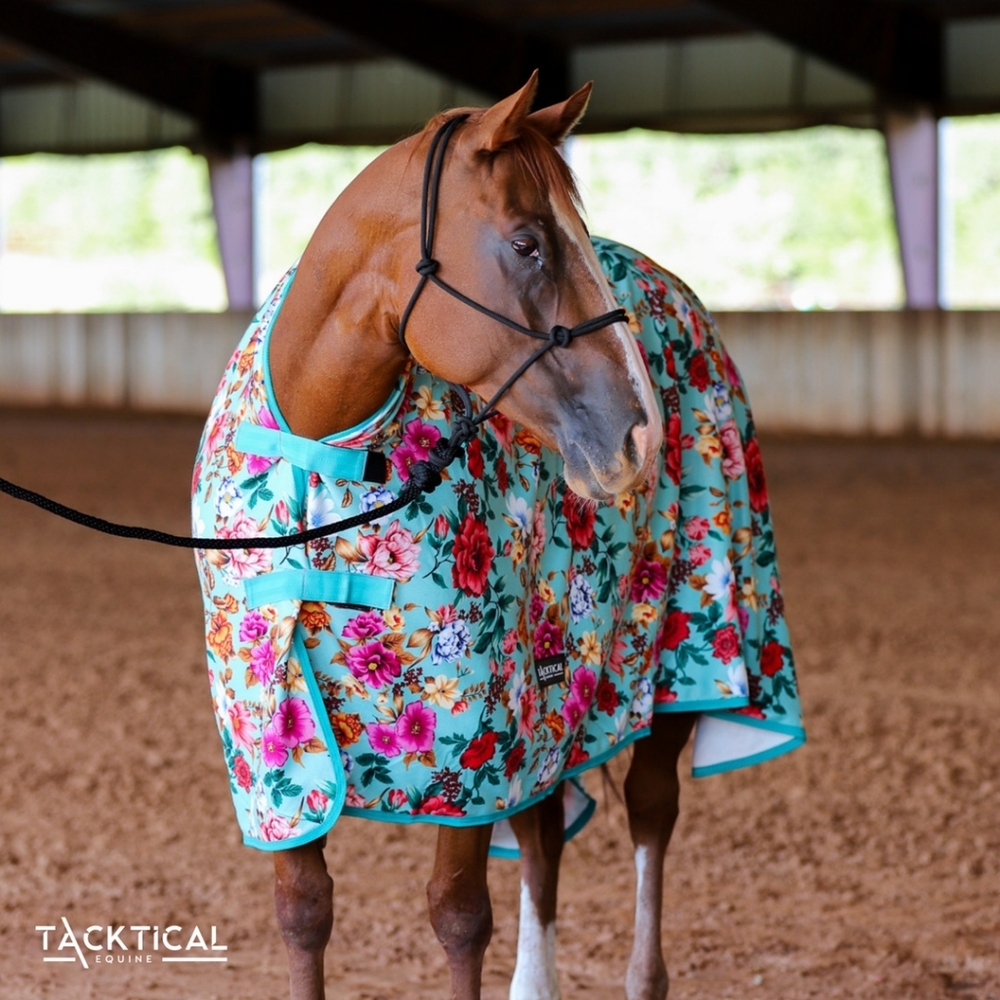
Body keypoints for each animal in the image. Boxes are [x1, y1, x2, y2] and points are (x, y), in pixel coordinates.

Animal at [191, 73, 804, 1000]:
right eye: (526, 244)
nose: (640, 433)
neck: (323, 450)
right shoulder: (276, 750)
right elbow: (303, 913)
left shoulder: (476, 746)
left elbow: (457, 916)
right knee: (547, 830)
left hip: (674, 668)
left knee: (650, 812)